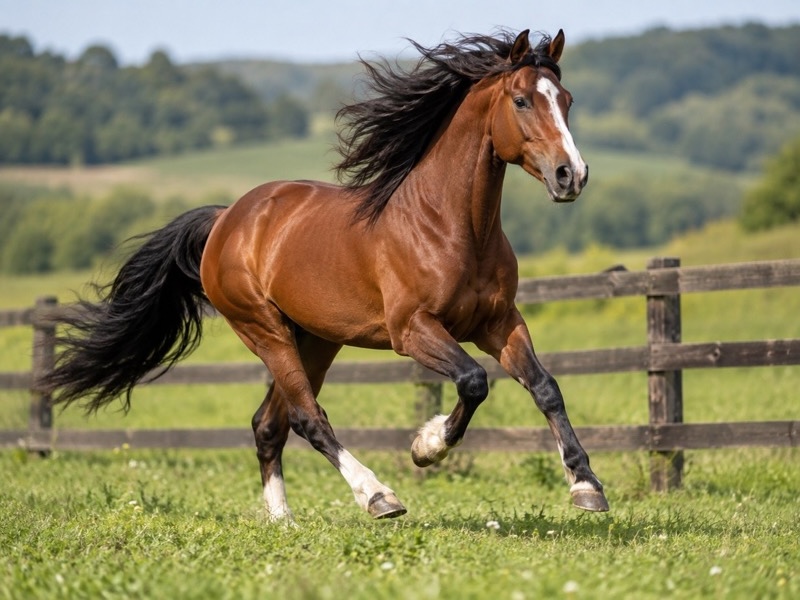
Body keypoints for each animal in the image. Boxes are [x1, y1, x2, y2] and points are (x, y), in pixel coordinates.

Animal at [41, 28, 609, 521]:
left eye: (567, 99)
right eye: (521, 101)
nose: (571, 175)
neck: (447, 225)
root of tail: (228, 219)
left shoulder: (498, 322)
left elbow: (545, 387)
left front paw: (586, 488)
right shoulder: (412, 330)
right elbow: (473, 381)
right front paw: (426, 447)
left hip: (315, 338)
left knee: (268, 424)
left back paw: (282, 521)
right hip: (264, 329)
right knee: (306, 418)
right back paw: (378, 496)